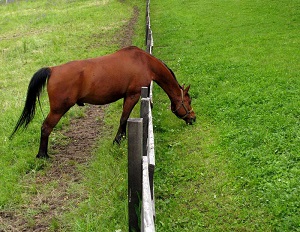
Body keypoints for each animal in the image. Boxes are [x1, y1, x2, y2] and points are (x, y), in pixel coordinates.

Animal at [9, 45, 195, 158]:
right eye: (189, 101)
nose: (193, 118)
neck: (145, 63)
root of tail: (52, 70)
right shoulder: (133, 95)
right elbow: (123, 118)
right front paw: (118, 140)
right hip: (58, 110)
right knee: (46, 127)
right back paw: (42, 155)